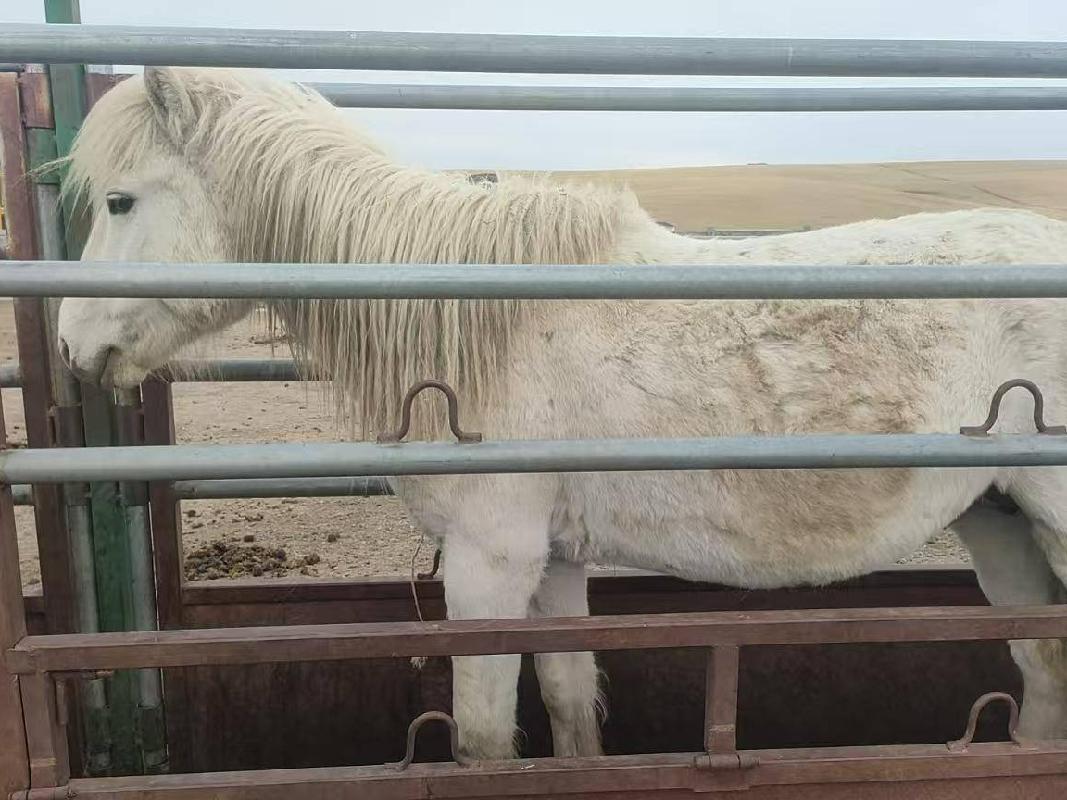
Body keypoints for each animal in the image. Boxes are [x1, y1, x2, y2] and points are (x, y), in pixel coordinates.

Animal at [56, 67, 1067, 760]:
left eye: (120, 200)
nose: (73, 347)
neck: (475, 323)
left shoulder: (487, 566)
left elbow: (481, 739)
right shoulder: (552, 566)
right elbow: (571, 708)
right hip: (997, 519)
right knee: (1042, 669)